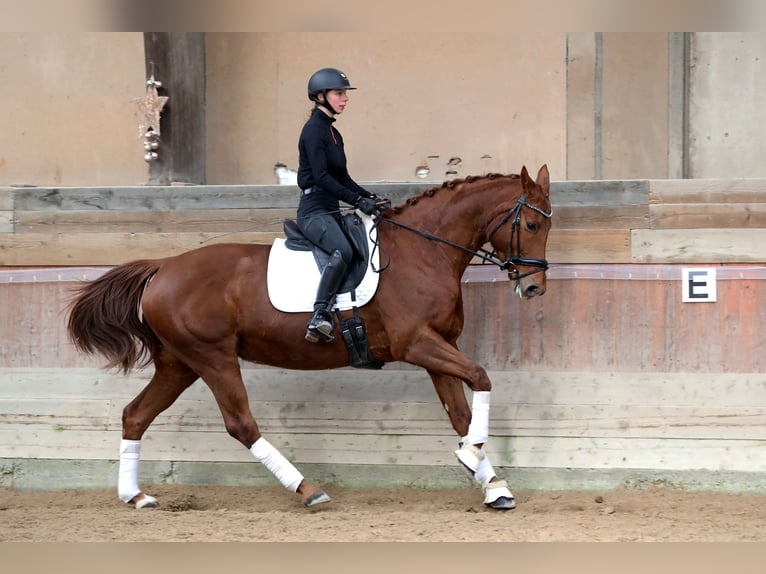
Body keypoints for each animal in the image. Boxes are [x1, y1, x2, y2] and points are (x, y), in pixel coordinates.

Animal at [66, 164, 552, 510]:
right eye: (531, 226)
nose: (534, 289)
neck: (425, 250)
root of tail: (162, 268)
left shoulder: (439, 348)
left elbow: (461, 413)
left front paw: (492, 484)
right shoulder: (417, 344)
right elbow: (482, 378)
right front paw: (472, 458)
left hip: (179, 362)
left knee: (135, 415)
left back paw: (135, 496)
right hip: (212, 357)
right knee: (240, 423)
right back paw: (307, 489)